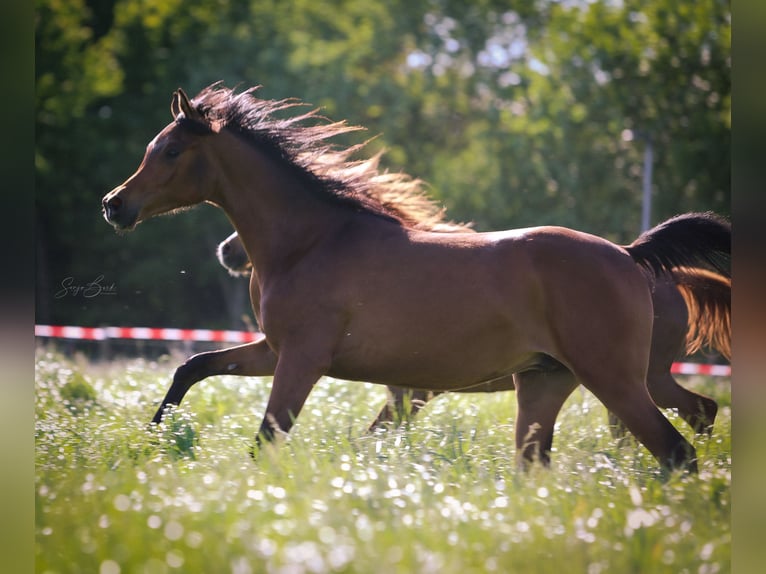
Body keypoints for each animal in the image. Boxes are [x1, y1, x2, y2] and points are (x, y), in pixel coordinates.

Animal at [217, 229, 729, 435]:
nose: (227, 251)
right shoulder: (407, 391)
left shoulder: (410, 390)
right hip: (635, 378)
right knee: (684, 413)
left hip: (638, 377)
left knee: (690, 412)